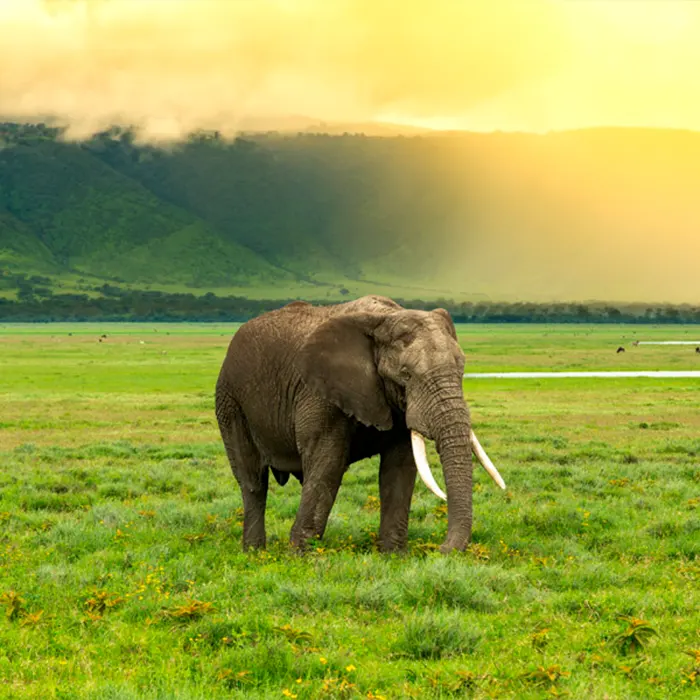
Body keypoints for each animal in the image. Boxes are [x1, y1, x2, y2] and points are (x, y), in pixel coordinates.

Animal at [213, 294, 504, 552]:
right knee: (253, 481)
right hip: (230, 401)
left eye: (462, 369)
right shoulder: (319, 392)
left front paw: (393, 556)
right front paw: (301, 557)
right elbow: (328, 463)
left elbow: (399, 467)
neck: (384, 318)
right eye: (406, 375)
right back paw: (255, 553)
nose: (441, 549)